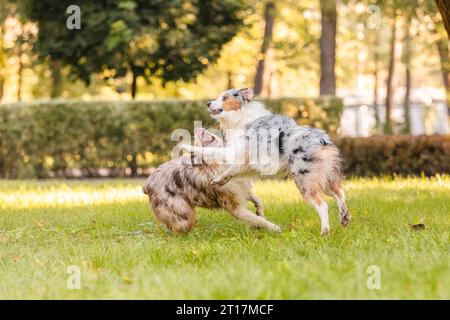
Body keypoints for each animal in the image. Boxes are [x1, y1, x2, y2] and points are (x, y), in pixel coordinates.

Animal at [142, 126, 282, 234]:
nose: (197, 128)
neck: (220, 165)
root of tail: (146, 185)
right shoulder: (236, 208)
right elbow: (258, 220)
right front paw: (274, 228)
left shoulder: (241, 189)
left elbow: (258, 201)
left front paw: (259, 212)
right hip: (183, 213)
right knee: (177, 228)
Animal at [181, 87, 350, 235]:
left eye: (225, 97)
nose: (208, 103)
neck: (241, 115)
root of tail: (322, 140)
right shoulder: (247, 163)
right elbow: (232, 171)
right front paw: (220, 179)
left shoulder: (235, 152)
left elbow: (210, 151)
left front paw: (186, 147)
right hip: (324, 177)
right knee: (339, 192)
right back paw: (344, 217)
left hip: (305, 179)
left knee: (323, 205)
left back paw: (325, 232)